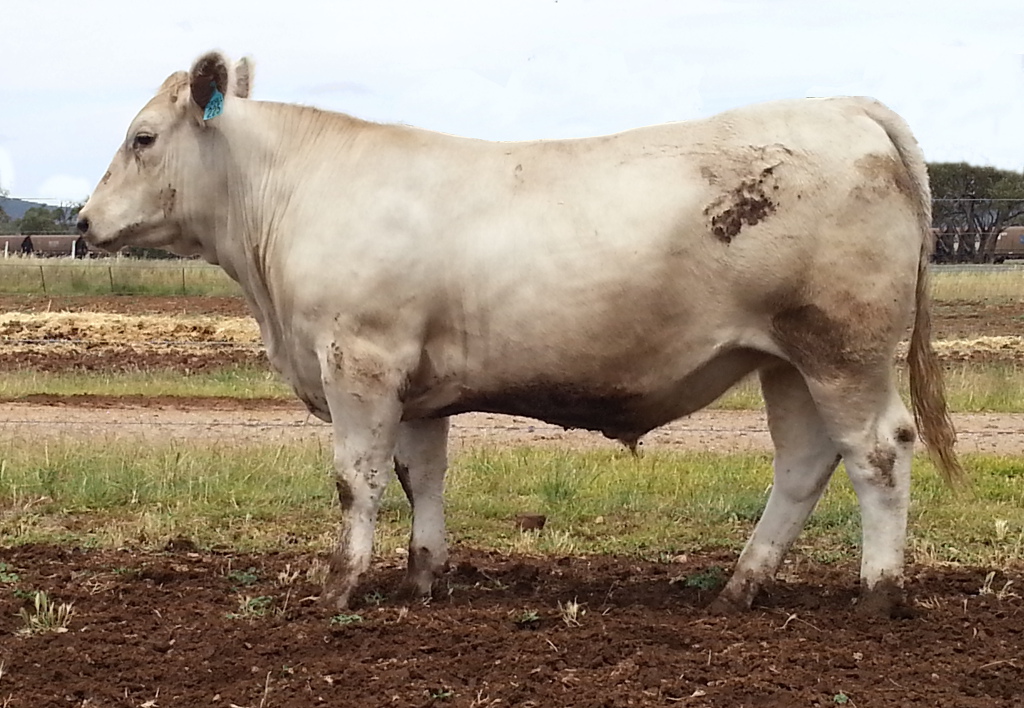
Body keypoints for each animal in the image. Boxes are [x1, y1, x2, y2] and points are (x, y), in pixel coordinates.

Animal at [77, 50, 964, 617]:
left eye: (143, 136)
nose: (84, 222)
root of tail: (842, 105)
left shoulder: (360, 361)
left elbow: (355, 479)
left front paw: (338, 588)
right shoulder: (415, 385)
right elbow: (421, 477)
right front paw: (423, 579)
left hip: (842, 350)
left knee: (879, 452)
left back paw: (878, 595)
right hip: (784, 360)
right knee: (806, 462)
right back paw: (741, 587)